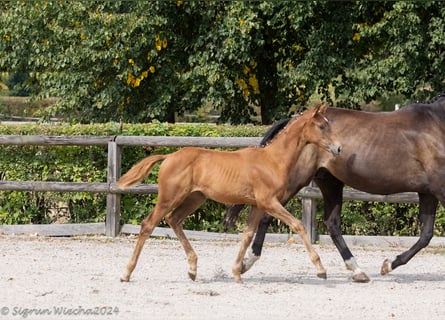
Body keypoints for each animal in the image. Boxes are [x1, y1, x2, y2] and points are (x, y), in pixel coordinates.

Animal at [117, 104, 340, 284]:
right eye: (321, 126)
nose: (338, 148)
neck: (272, 160)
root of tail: (169, 156)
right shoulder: (269, 202)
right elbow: (298, 225)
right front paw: (321, 270)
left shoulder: (257, 205)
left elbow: (247, 235)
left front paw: (237, 273)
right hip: (169, 197)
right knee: (148, 224)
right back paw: (126, 273)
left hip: (194, 198)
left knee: (174, 220)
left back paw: (192, 269)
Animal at [227, 95, 444, 282]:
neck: (438, 124)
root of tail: (295, 119)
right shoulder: (439, 190)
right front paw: (387, 265)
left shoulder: (428, 192)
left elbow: (426, 235)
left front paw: (388, 265)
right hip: (295, 182)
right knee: (267, 216)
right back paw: (247, 263)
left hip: (330, 183)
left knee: (331, 224)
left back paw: (357, 270)